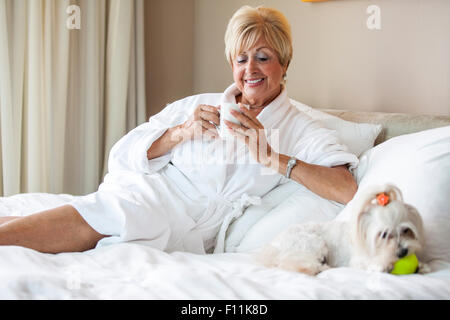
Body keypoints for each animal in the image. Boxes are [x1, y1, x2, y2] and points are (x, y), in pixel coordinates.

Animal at [256, 184, 428, 276]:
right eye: (383, 234)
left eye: (406, 230)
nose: (403, 252)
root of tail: (272, 246)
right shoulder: (357, 260)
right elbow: (367, 264)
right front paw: (382, 265)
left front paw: (421, 266)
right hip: (312, 244)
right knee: (292, 265)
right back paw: (319, 268)